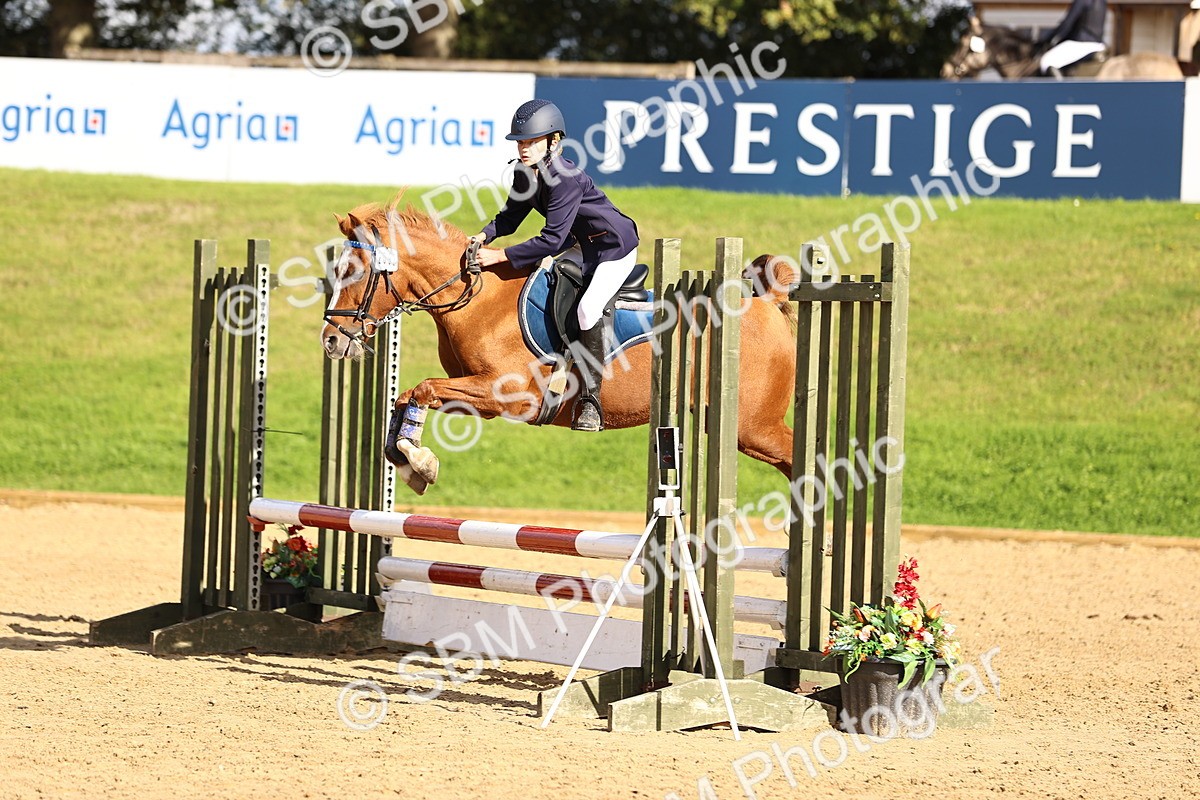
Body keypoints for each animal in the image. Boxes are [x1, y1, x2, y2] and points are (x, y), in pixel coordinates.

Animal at [319, 199, 799, 494]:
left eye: (354, 272)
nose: (330, 340)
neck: (478, 298)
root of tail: (766, 301)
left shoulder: (507, 394)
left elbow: (423, 389)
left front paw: (417, 461)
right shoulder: (474, 394)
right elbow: (411, 395)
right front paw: (411, 459)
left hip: (753, 428)